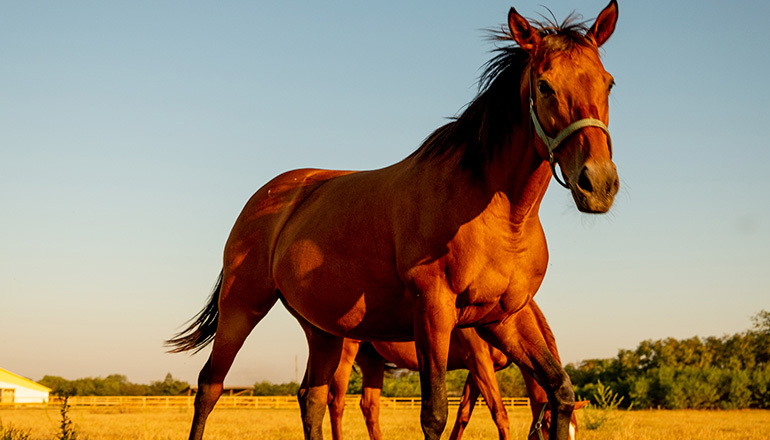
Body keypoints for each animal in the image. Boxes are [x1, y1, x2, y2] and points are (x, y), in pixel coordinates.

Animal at [320, 300, 584, 440]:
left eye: (575, 430)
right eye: (548, 427)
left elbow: (463, 415)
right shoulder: (479, 362)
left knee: (369, 407)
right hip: (346, 354)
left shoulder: (476, 370)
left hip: (372, 359)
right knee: (337, 404)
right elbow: (500, 415)